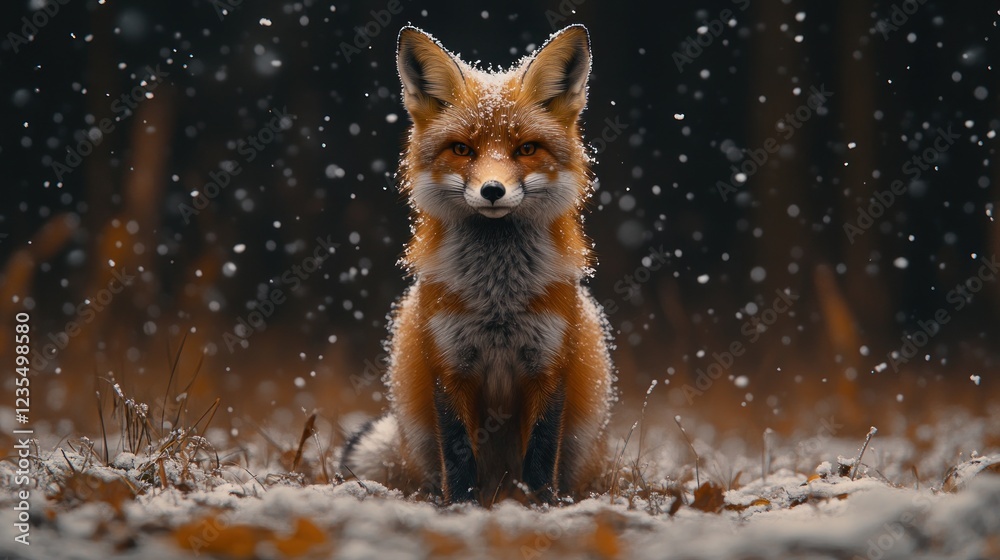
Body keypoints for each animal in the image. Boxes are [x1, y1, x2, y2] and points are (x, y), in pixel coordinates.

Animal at [340, 24, 615, 506]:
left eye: (526, 148)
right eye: (462, 149)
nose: (492, 190)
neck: (497, 300)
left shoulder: (549, 365)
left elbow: (541, 454)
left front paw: (541, 507)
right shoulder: (449, 365)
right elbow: (458, 452)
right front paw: (462, 507)